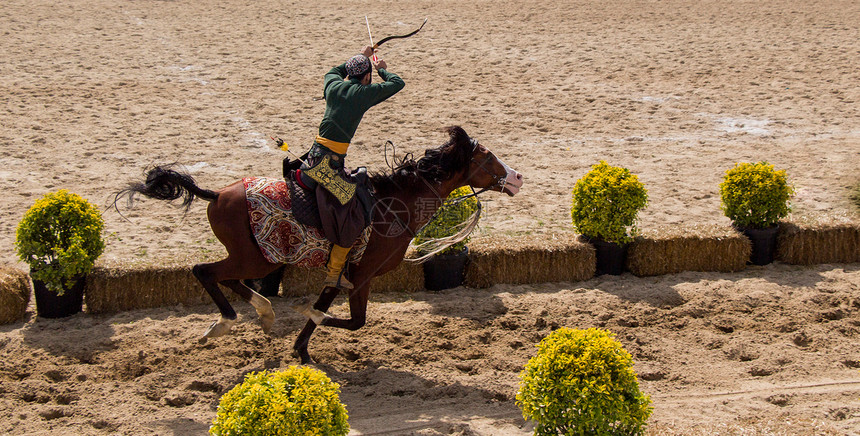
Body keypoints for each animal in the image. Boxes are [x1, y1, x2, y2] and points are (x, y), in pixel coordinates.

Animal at [119, 127, 524, 364]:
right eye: (487, 157)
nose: (517, 177)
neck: (394, 205)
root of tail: (218, 193)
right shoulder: (362, 273)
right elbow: (352, 319)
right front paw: (306, 323)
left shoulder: (345, 270)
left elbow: (330, 302)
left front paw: (301, 346)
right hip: (257, 260)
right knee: (204, 271)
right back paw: (225, 323)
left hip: (256, 260)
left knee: (229, 279)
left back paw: (264, 312)